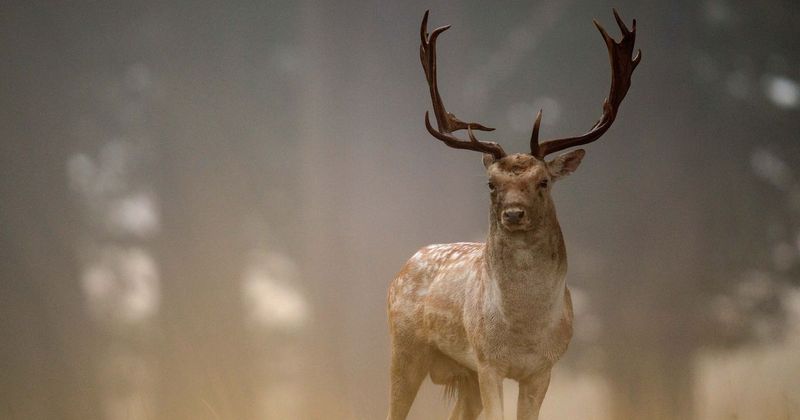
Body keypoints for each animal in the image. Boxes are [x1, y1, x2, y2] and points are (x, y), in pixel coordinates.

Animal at [386, 9, 640, 420]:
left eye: (543, 181)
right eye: (491, 183)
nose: (514, 214)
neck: (524, 332)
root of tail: (405, 266)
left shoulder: (544, 368)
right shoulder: (488, 361)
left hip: (462, 372)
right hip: (405, 348)